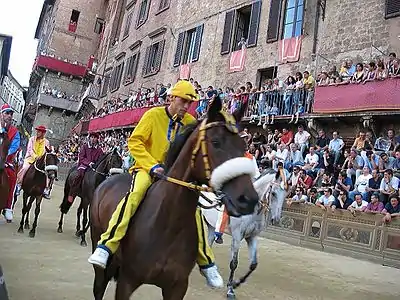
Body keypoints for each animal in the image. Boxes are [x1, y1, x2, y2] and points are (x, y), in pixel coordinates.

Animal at [202, 169, 286, 298]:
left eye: (285, 195)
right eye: (273, 193)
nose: (276, 219)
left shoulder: (252, 237)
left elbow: (253, 264)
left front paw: (236, 283)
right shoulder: (237, 237)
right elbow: (234, 263)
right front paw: (230, 290)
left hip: (211, 226)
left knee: (209, 243)